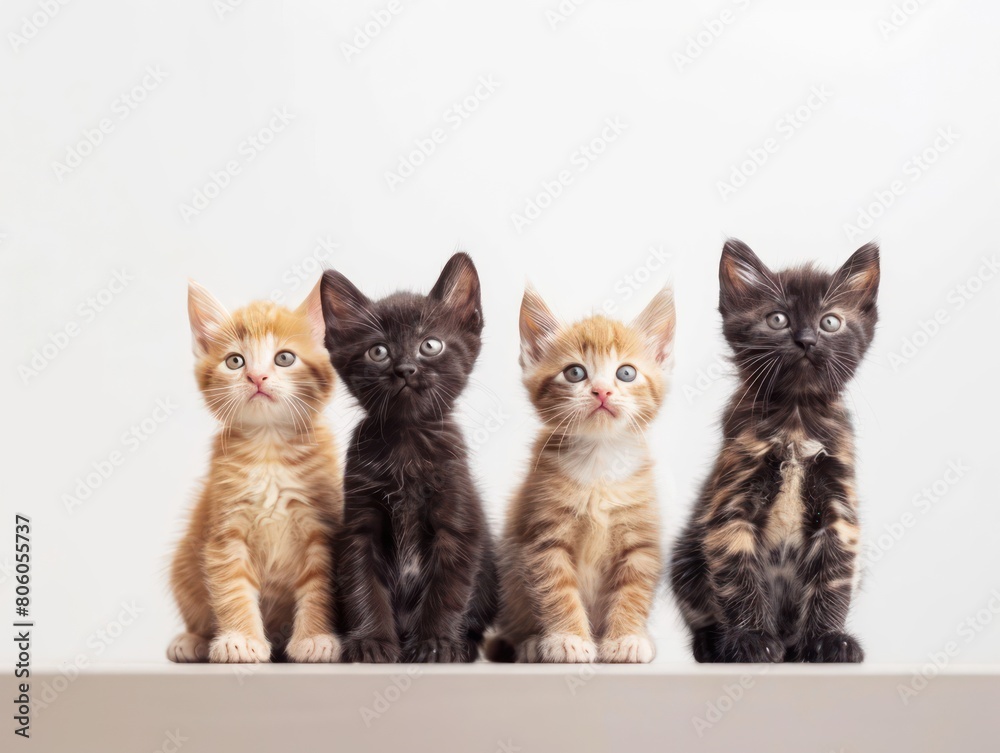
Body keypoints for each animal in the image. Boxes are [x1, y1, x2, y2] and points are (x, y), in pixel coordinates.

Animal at [168, 280, 344, 664]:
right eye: (235, 361)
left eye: (284, 358)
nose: (256, 376)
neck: (269, 450)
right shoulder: (225, 530)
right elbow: (231, 585)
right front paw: (240, 640)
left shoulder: (321, 526)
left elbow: (319, 584)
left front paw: (316, 638)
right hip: (184, 565)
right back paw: (192, 640)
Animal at [320, 254, 496, 664]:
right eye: (378, 351)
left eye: (430, 345)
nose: (405, 369)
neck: (407, 444)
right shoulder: (359, 525)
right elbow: (363, 586)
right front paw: (372, 643)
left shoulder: (457, 523)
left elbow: (447, 590)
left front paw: (435, 643)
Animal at [488, 284, 676, 660]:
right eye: (575, 372)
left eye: (626, 373)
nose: (602, 391)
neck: (599, 464)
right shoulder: (544, 538)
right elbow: (556, 590)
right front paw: (568, 639)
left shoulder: (641, 539)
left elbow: (633, 589)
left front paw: (626, 638)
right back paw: (531, 643)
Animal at [672, 238, 876, 660]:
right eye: (777, 319)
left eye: (829, 322)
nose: (806, 340)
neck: (796, 419)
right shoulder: (731, 506)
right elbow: (739, 577)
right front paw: (752, 639)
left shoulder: (839, 511)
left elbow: (833, 581)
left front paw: (828, 640)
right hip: (684, 556)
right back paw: (711, 643)